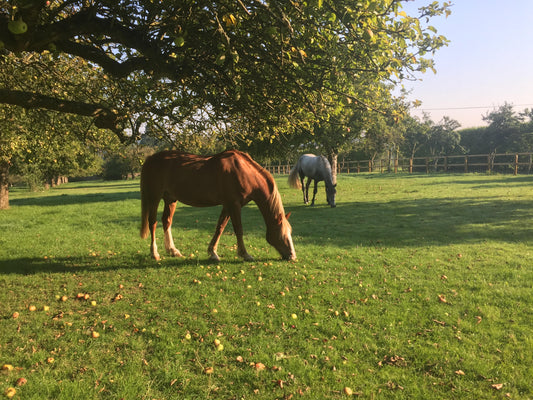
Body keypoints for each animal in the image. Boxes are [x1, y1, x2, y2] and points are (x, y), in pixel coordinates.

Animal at [139, 148, 296, 260]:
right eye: (283, 235)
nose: (292, 256)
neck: (244, 172)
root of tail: (150, 159)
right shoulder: (234, 205)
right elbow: (238, 229)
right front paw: (245, 254)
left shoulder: (227, 205)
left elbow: (220, 227)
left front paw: (212, 252)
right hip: (154, 197)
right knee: (152, 223)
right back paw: (154, 253)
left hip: (170, 199)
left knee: (167, 221)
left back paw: (173, 250)